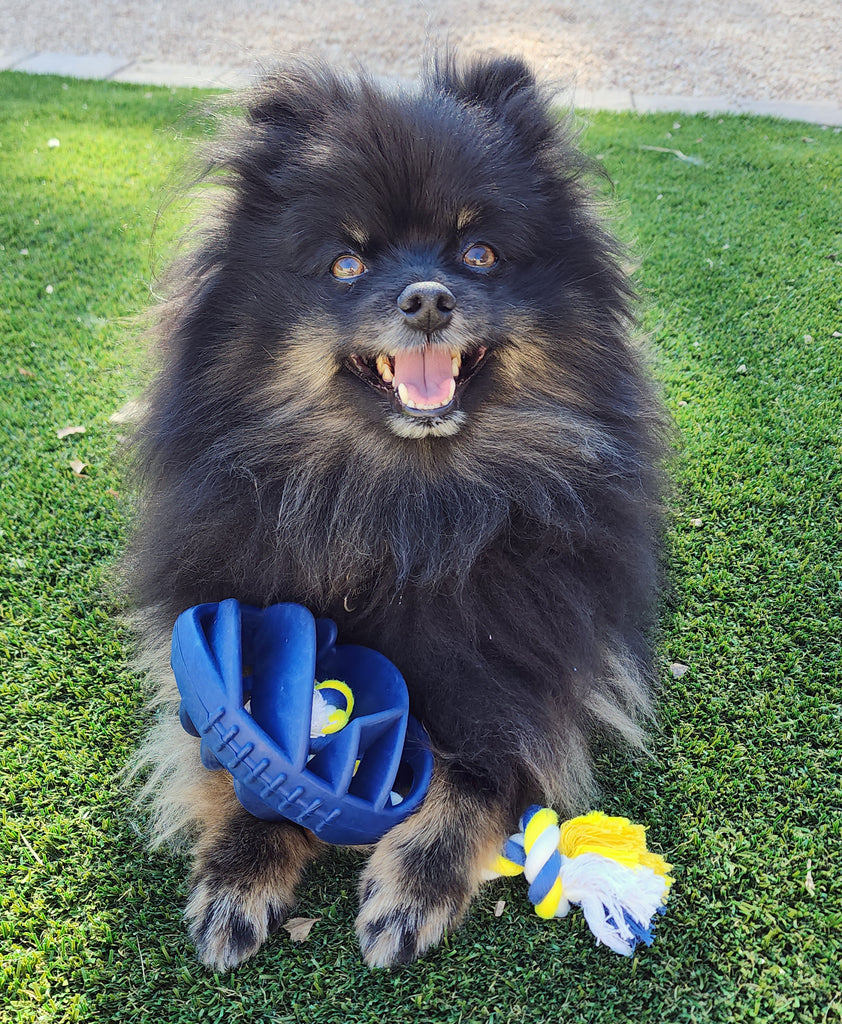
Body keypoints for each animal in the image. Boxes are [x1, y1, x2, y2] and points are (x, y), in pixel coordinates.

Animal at [123, 54, 667, 966]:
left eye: (478, 253)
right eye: (347, 263)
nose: (427, 299)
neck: (410, 509)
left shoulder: (529, 658)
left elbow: (490, 760)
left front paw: (415, 883)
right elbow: (249, 749)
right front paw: (240, 871)